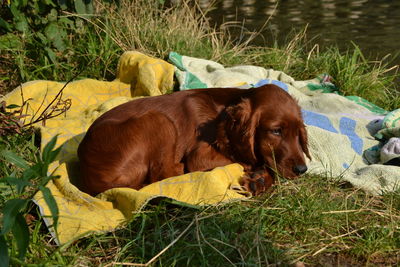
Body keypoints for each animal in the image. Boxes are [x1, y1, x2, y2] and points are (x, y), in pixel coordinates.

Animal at [77, 85, 310, 197]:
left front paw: (259, 180)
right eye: (276, 131)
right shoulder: (201, 156)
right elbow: (254, 161)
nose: (302, 170)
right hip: (159, 120)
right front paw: (259, 177)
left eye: (298, 133)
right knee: (162, 175)